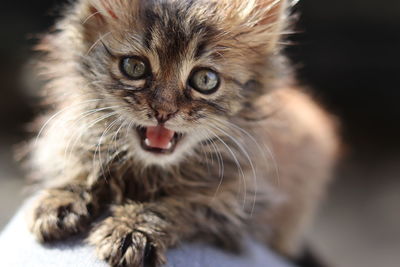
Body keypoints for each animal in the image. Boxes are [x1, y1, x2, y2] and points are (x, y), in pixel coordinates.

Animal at [25, 0, 338, 267]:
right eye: (134, 67)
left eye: (205, 80)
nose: (163, 111)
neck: (149, 169)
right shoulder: (69, 136)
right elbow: (79, 165)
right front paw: (62, 200)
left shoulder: (236, 205)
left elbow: (178, 206)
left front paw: (133, 230)